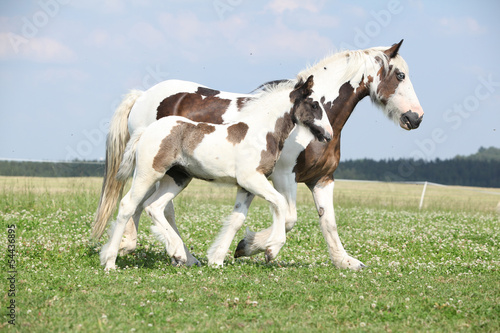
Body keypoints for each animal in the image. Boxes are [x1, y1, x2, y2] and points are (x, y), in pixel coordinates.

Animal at [93, 40, 422, 270]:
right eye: (400, 75)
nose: (415, 118)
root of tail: (142, 95)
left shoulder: (322, 179)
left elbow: (326, 221)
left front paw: (346, 262)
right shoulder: (282, 176)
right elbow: (288, 216)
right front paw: (256, 247)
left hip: (174, 174)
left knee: (152, 205)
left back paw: (167, 254)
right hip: (156, 170)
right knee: (143, 205)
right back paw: (138, 249)